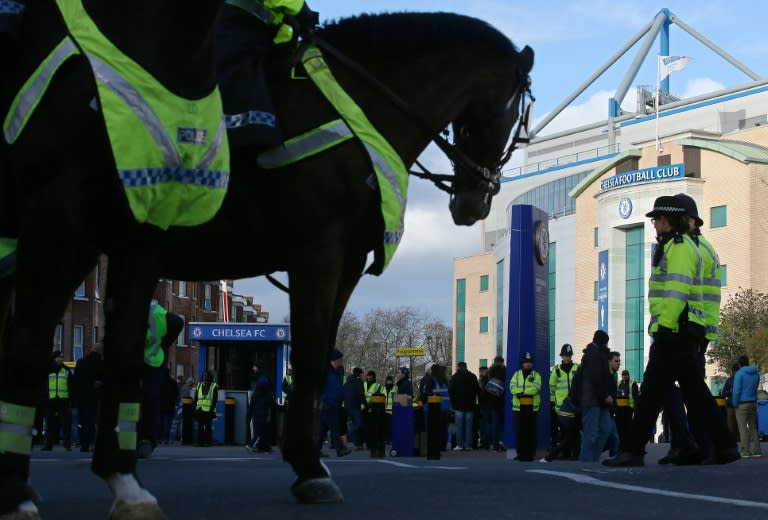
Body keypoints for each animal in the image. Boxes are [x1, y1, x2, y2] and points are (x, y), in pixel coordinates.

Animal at [0, 6, 532, 516]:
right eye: (518, 117)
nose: (475, 201)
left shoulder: (346, 260)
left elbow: (319, 359)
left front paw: (306, 461)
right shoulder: (318, 249)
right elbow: (312, 358)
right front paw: (310, 468)